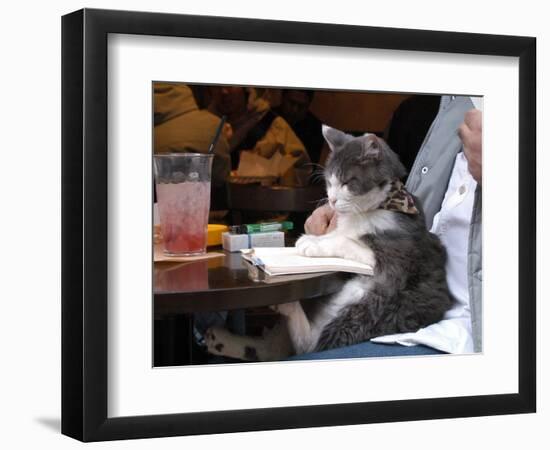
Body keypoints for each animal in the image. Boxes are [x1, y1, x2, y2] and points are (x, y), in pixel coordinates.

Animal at [205, 126, 454, 362]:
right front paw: (315, 237)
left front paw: (311, 243)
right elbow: (338, 233)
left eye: (347, 182)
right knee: (274, 348)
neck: (370, 210)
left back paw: (286, 308)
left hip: (370, 305)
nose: (332, 200)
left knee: (311, 345)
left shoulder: (395, 256)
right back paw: (220, 339)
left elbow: (346, 240)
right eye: (329, 182)